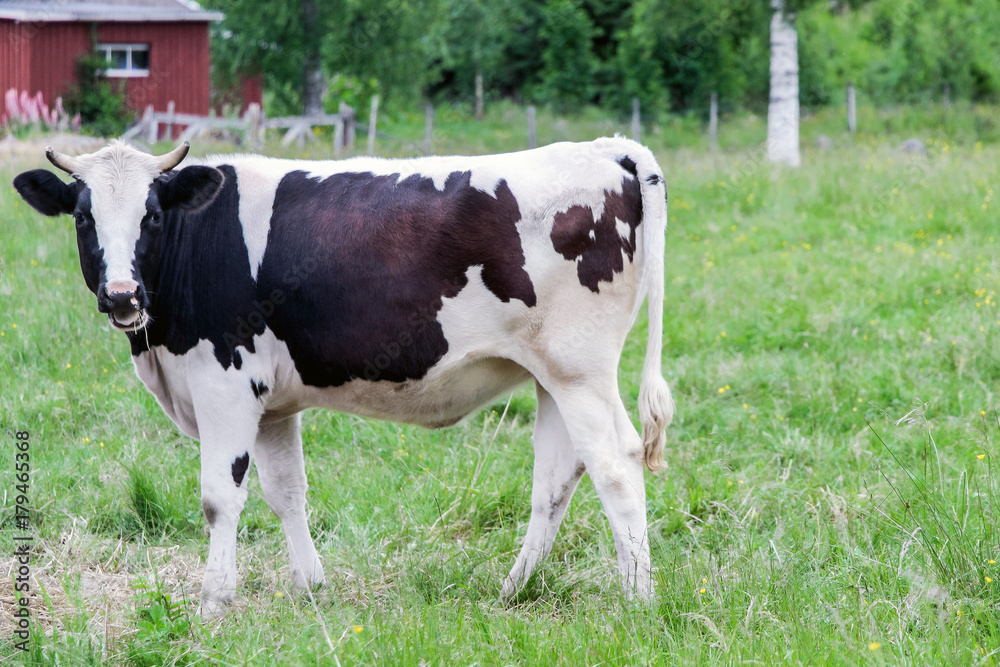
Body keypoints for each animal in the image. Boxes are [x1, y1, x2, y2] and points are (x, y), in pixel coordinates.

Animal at [13, 140, 672, 616]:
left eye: (150, 215)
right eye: (82, 217)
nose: (122, 295)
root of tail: (607, 148)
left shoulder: (225, 383)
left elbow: (220, 497)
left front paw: (213, 602)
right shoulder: (272, 404)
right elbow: (287, 492)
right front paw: (310, 588)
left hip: (579, 369)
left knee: (615, 464)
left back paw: (639, 602)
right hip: (551, 377)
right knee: (557, 480)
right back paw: (514, 591)